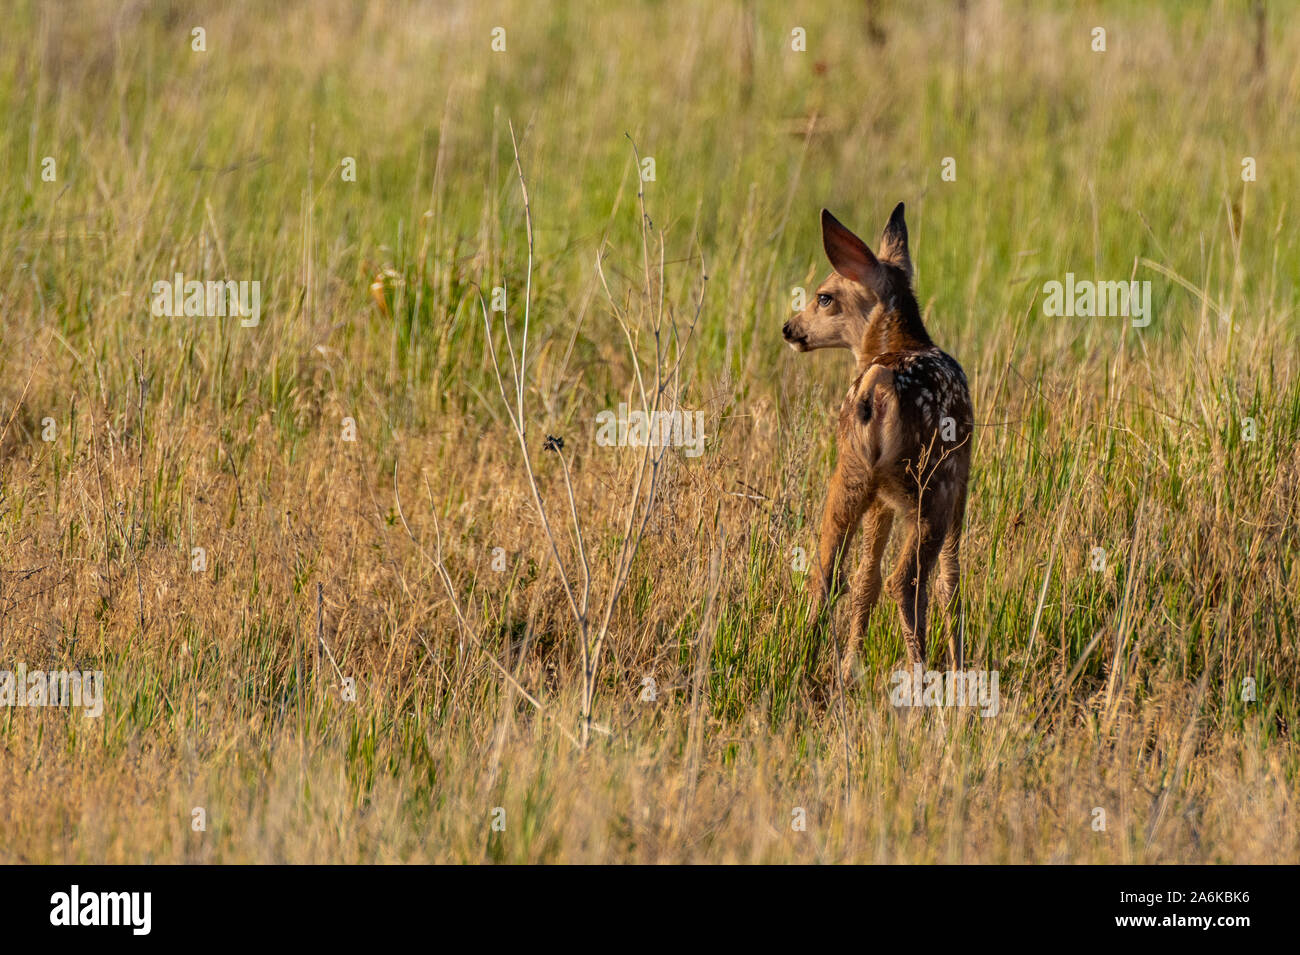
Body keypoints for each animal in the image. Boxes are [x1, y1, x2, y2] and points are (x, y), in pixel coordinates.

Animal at [783, 204, 972, 681]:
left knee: (828, 572)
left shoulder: (881, 500)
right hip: (932, 483)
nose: (789, 329)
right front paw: (960, 663)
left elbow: (865, 576)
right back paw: (922, 674)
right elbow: (951, 578)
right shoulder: (962, 481)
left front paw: (852, 661)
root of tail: (877, 382)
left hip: (851, 473)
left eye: (824, 296)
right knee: (906, 580)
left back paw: (799, 664)